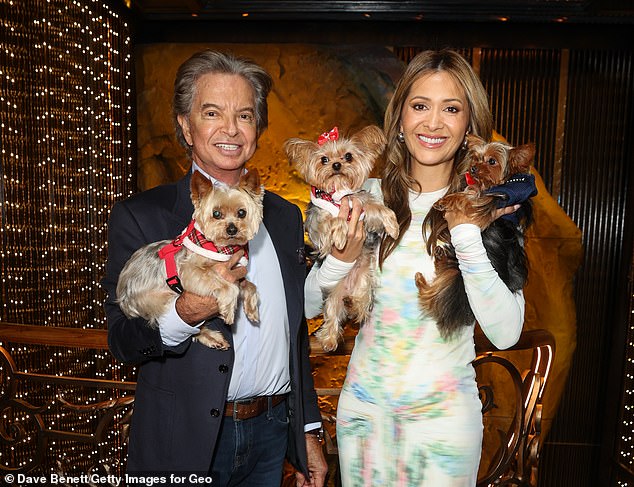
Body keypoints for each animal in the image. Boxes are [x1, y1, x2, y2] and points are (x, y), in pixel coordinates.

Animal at [116, 170, 262, 348]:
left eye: (242, 212)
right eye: (216, 214)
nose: (232, 229)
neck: (221, 247)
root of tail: (123, 299)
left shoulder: (236, 272)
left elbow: (250, 286)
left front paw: (252, 309)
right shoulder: (192, 271)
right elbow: (228, 286)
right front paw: (228, 309)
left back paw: (213, 338)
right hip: (158, 300)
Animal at [286, 125, 398, 350]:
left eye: (348, 156)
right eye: (324, 160)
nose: (337, 164)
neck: (339, 196)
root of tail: (348, 290)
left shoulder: (361, 203)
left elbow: (379, 209)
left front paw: (393, 225)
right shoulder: (317, 222)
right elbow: (332, 222)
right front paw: (339, 234)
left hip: (365, 279)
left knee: (362, 301)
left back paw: (356, 306)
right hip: (332, 295)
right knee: (332, 314)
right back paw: (329, 339)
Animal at [414, 133, 532, 340]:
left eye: (492, 161)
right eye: (476, 158)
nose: (473, 169)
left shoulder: (495, 198)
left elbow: (471, 197)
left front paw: (449, 200)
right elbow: (469, 191)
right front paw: (445, 200)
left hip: (455, 278)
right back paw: (439, 256)